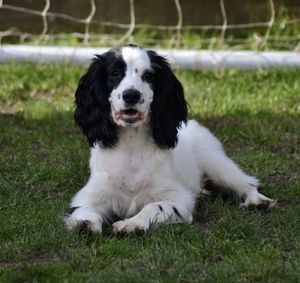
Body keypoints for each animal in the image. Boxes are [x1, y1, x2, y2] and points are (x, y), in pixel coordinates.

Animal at [63, 44, 276, 235]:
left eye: (148, 76)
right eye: (115, 73)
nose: (131, 95)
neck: (131, 146)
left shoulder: (179, 200)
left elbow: (153, 206)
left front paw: (131, 223)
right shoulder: (89, 195)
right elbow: (83, 211)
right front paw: (85, 223)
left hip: (217, 164)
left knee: (247, 183)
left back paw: (257, 201)